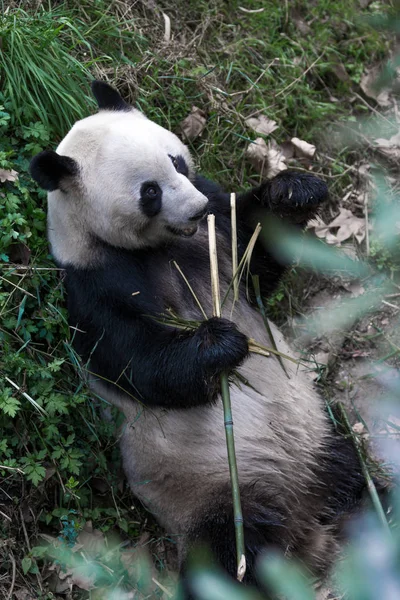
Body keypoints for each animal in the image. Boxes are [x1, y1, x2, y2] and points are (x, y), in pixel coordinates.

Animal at [32, 79, 366, 596]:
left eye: (176, 160)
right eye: (149, 192)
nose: (195, 209)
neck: (165, 245)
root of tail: (307, 526)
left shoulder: (220, 230)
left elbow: (257, 260)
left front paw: (294, 190)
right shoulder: (93, 284)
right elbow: (141, 363)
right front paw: (220, 344)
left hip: (320, 439)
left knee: (352, 474)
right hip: (216, 489)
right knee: (231, 551)